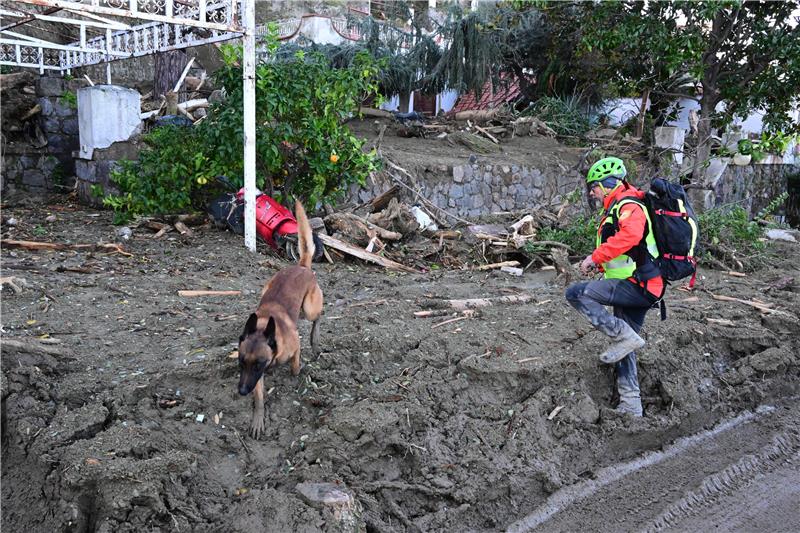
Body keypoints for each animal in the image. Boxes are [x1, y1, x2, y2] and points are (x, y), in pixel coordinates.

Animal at [236, 200, 324, 436]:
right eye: (241, 362)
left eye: (259, 364)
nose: (242, 391)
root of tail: (302, 266)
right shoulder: (255, 378)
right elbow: (259, 397)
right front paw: (258, 419)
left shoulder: (293, 349)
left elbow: (295, 366)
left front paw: (296, 375)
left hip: (310, 308)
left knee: (317, 317)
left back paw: (315, 340)